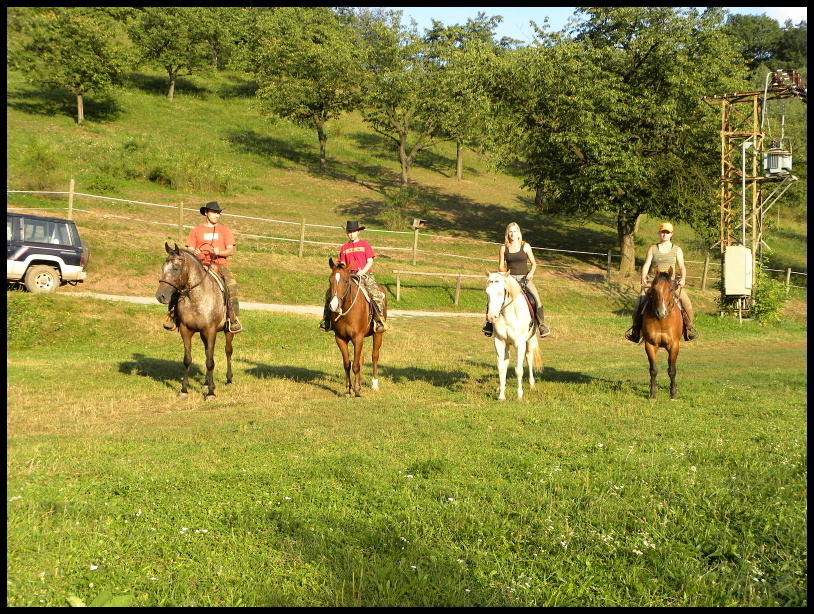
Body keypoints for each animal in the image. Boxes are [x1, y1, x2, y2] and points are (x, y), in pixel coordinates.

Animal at [156, 243, 234, 402]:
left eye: (175, 268)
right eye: (162, 267)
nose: (160, 296)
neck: (196, 298)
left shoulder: (211, 331)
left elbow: (210, 362)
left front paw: (211, 393)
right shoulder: (186, 330)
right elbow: (188, 359)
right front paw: (184, 390)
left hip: (228, 331)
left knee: (228, 351)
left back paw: (228, 380)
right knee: (207, 352)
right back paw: (206, 383)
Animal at [326, 258, 388, 400]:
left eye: (345, 281)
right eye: (330, 280)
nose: (333, 305)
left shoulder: (357, 338)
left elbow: (355, 365)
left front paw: (357, 392)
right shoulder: (340, 338)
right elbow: (348, 364)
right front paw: (349, 390)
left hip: (378, 334)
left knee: (374, 356)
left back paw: (374, 384)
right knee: (361, 359)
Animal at [644, 268, 684, 402]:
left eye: (671, 289)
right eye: (654, 289)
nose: (661, 312)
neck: (662, 321)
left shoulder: (674, 345)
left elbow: (672, 370)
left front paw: (673, 394)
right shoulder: (650, 344)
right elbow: (653, 370)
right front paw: (652, 394)